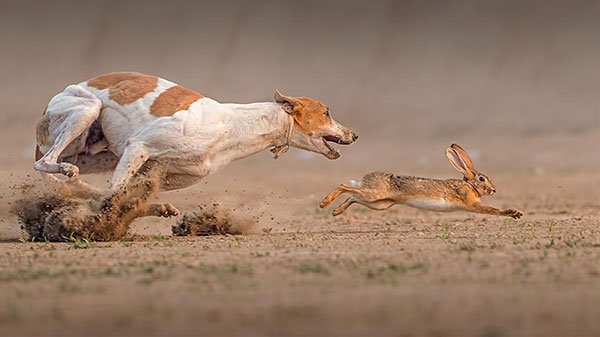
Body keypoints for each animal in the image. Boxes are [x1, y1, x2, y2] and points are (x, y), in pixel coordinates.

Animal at [35, 72, 356, 217]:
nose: (354, 135)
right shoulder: (139, 146)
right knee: (44, 163)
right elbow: (114, 193)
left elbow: (122, 194)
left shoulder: (157, 172)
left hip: (101, 155)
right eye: (326, 112)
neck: (232, 125)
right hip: (86, 111)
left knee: (80, 182)